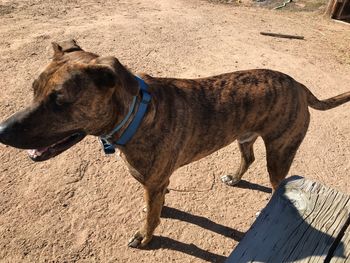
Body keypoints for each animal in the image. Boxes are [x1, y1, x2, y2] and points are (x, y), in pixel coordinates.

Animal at [0, 39, 350, 250]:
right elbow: (156, 205)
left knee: (279, 184)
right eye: (33, 89)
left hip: (279, 151)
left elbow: (151, 216)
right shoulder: (155, 182)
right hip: (245, 135)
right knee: (248, 158)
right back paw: (236, 178)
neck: (136, 114)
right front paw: (157, 212)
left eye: (59, 101)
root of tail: (299, 85)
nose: (2, 130)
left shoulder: (154, 180)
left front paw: (145, 236)